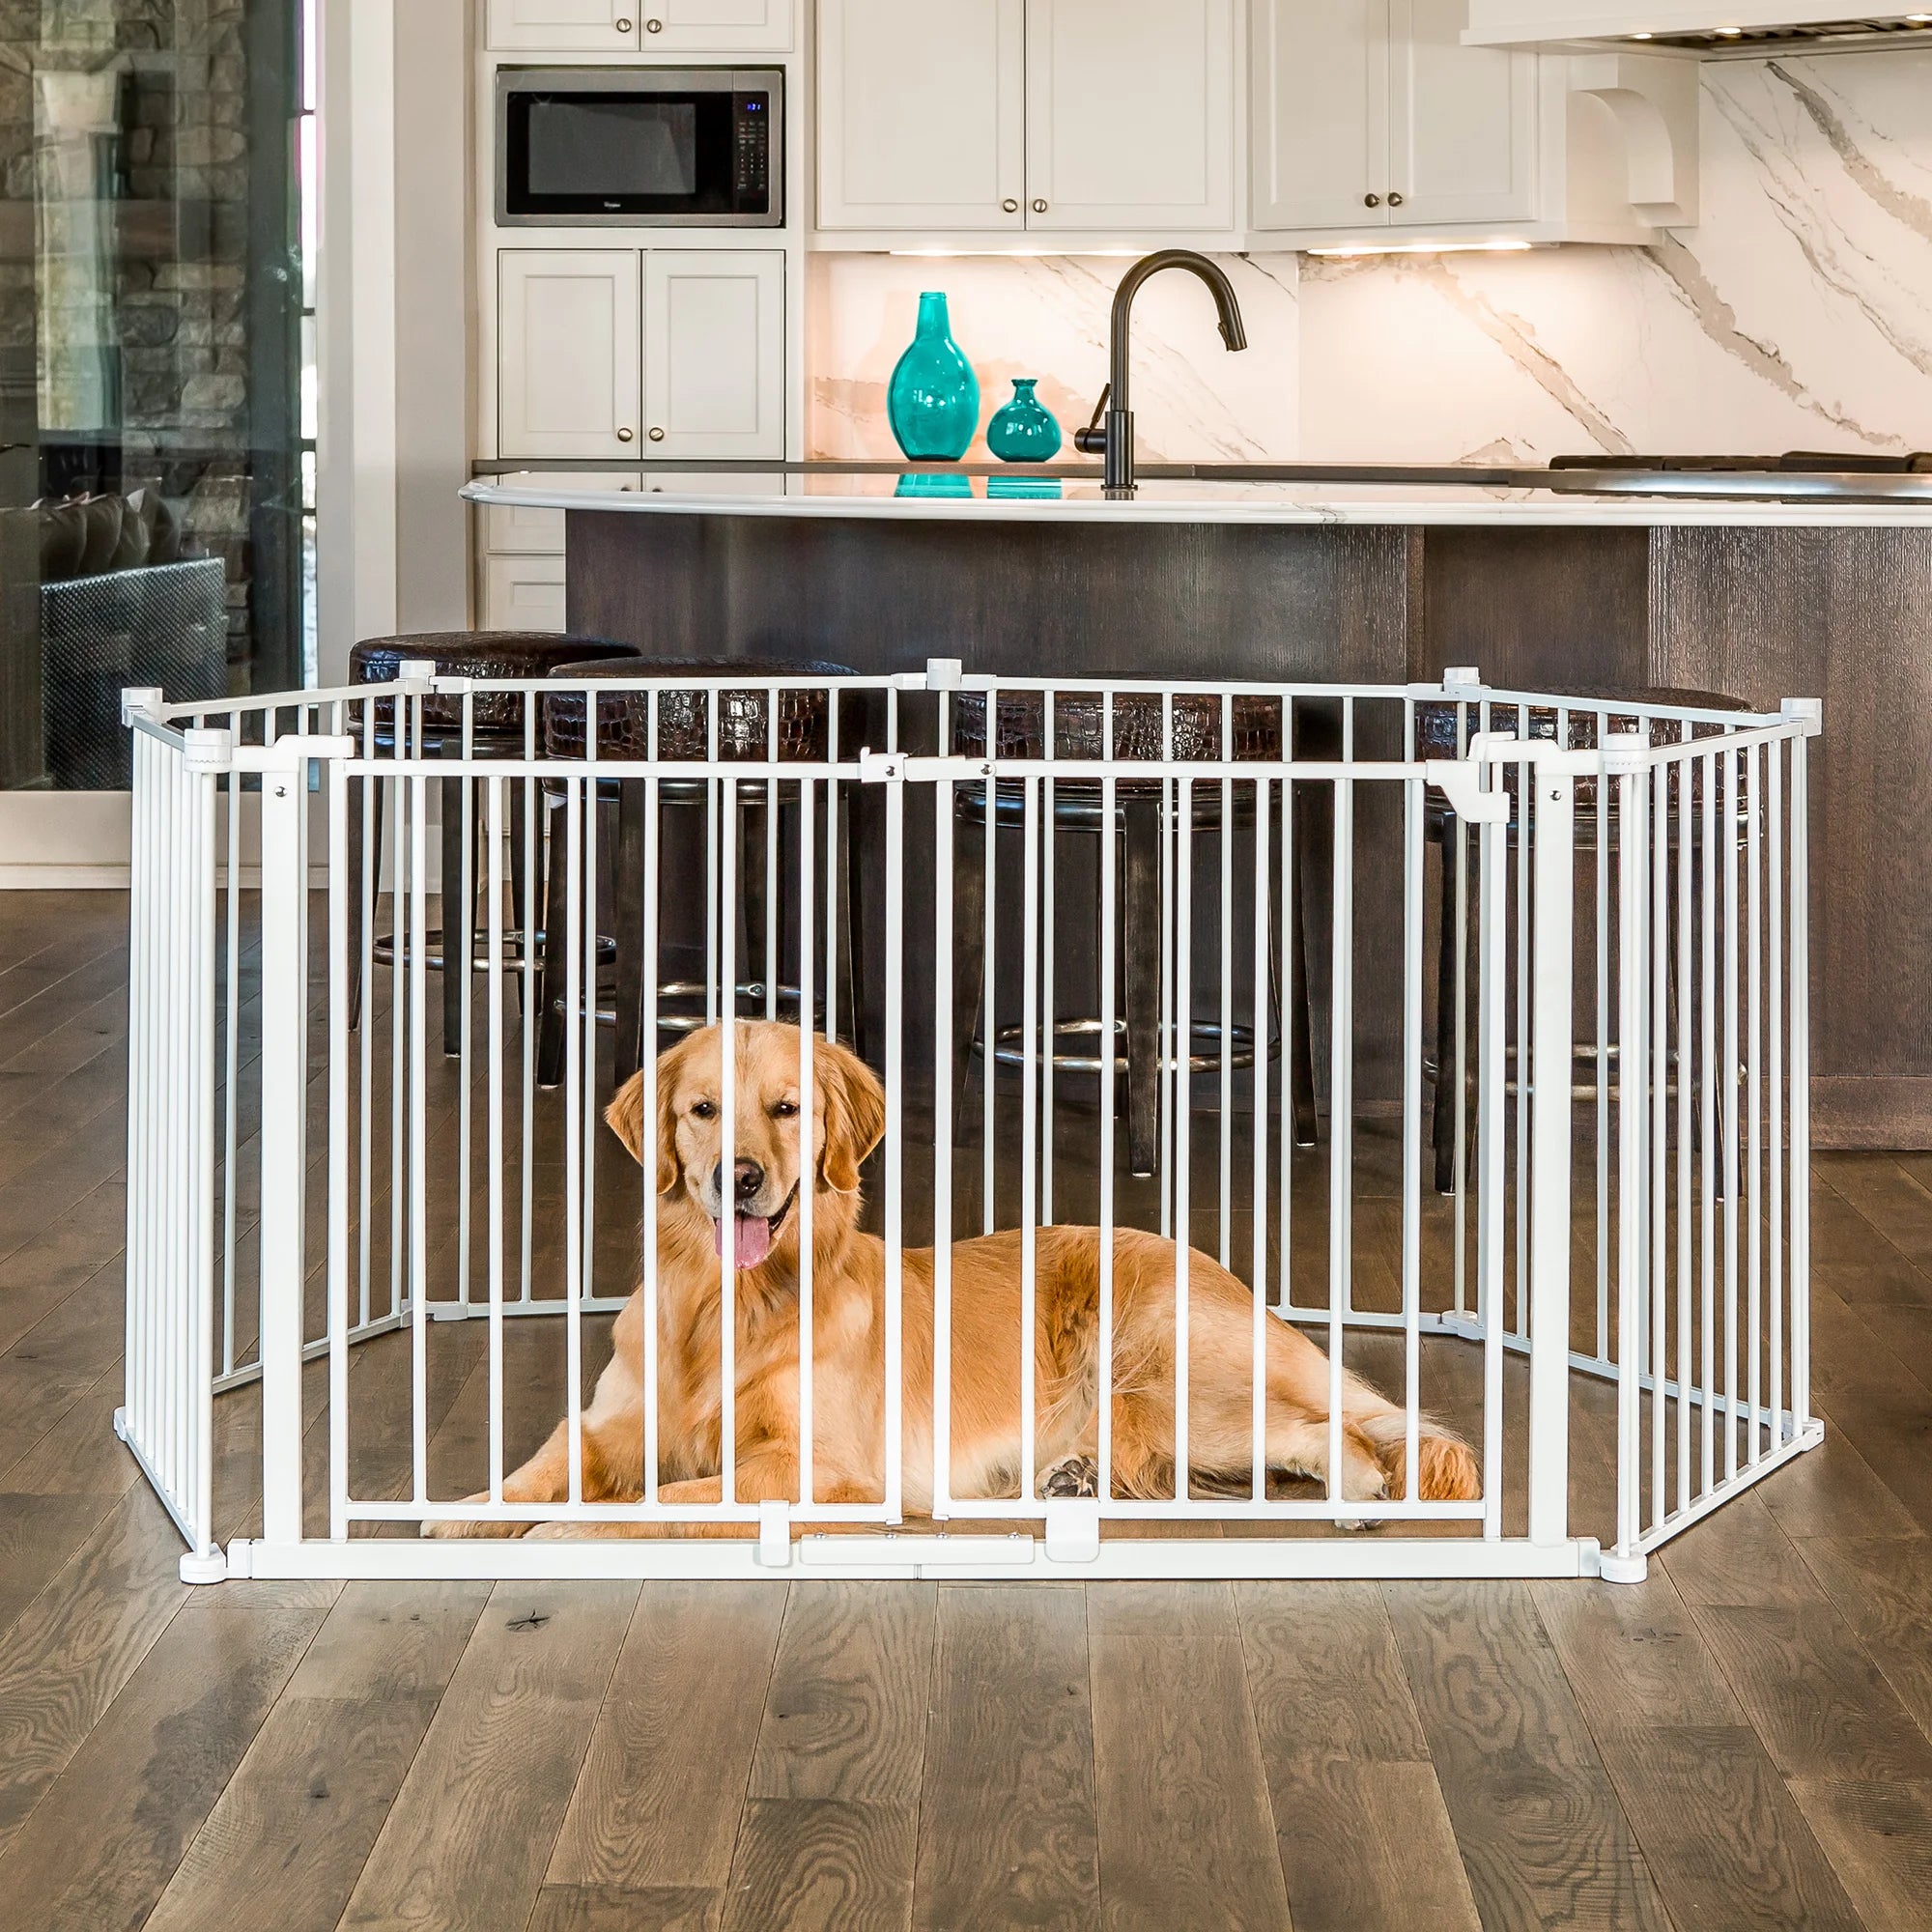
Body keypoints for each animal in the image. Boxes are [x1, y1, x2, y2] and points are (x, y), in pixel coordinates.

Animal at [427, 1012, 1476, 1538]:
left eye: (785, 1108)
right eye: (702, 1109)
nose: (741, 1177)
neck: (723, 1304)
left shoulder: (818, 1468)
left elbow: (645, 1504)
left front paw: (562, 1534)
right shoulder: (613, 1421)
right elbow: (552, 1461)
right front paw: (467, 1512)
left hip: (1175, 1370)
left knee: (1336, 1429)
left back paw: (1351, 1496)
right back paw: (1071, 1476)